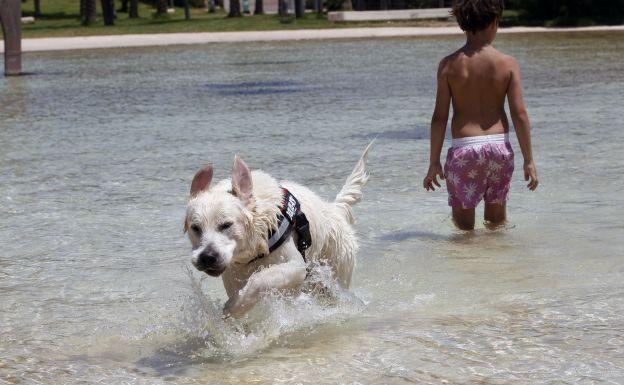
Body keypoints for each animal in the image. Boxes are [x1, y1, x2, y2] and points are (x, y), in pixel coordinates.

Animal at [183, 142, 372, 316]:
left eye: (226, 225)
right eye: (195, 228)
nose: (207, 257)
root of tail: (335, 209)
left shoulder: (296, 266)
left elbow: (260, 279)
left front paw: (234, 306)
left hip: (337, 272)